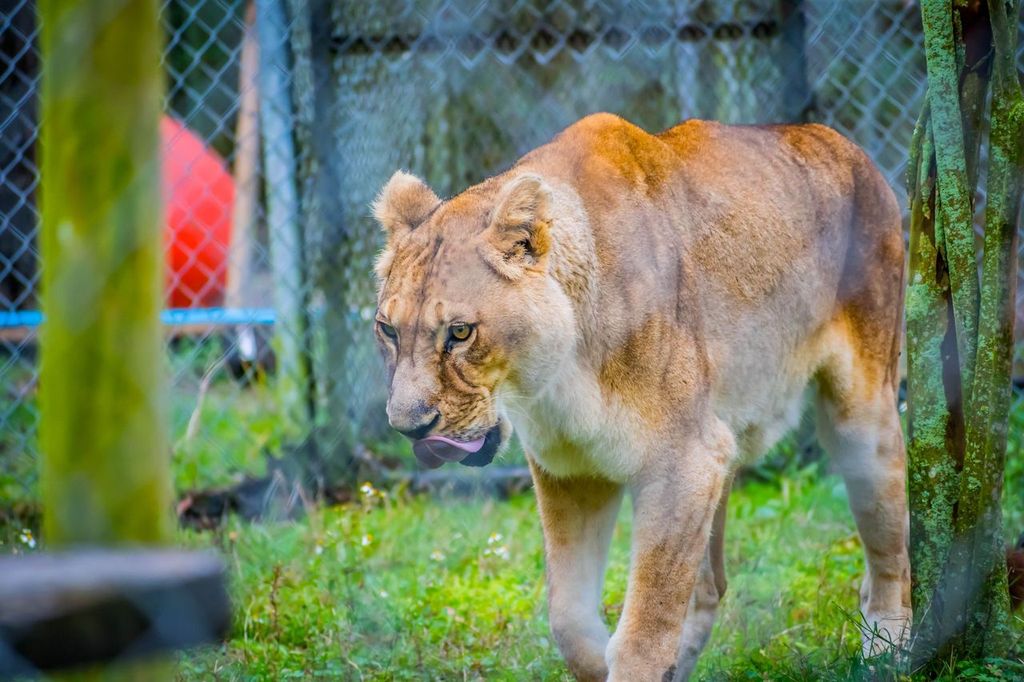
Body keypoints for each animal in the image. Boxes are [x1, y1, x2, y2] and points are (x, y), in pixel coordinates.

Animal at [371, 113, 910, 681]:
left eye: (459, 332)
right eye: (388, 329)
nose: (409, 427)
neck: (559, 380)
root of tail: (837, 139)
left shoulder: (684, 461)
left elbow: (647, 626)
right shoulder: (573, 471)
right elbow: (568, 618)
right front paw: (600, 658)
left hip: (862, 414)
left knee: (890, 547)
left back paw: (887, 648)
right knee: (710, 587)